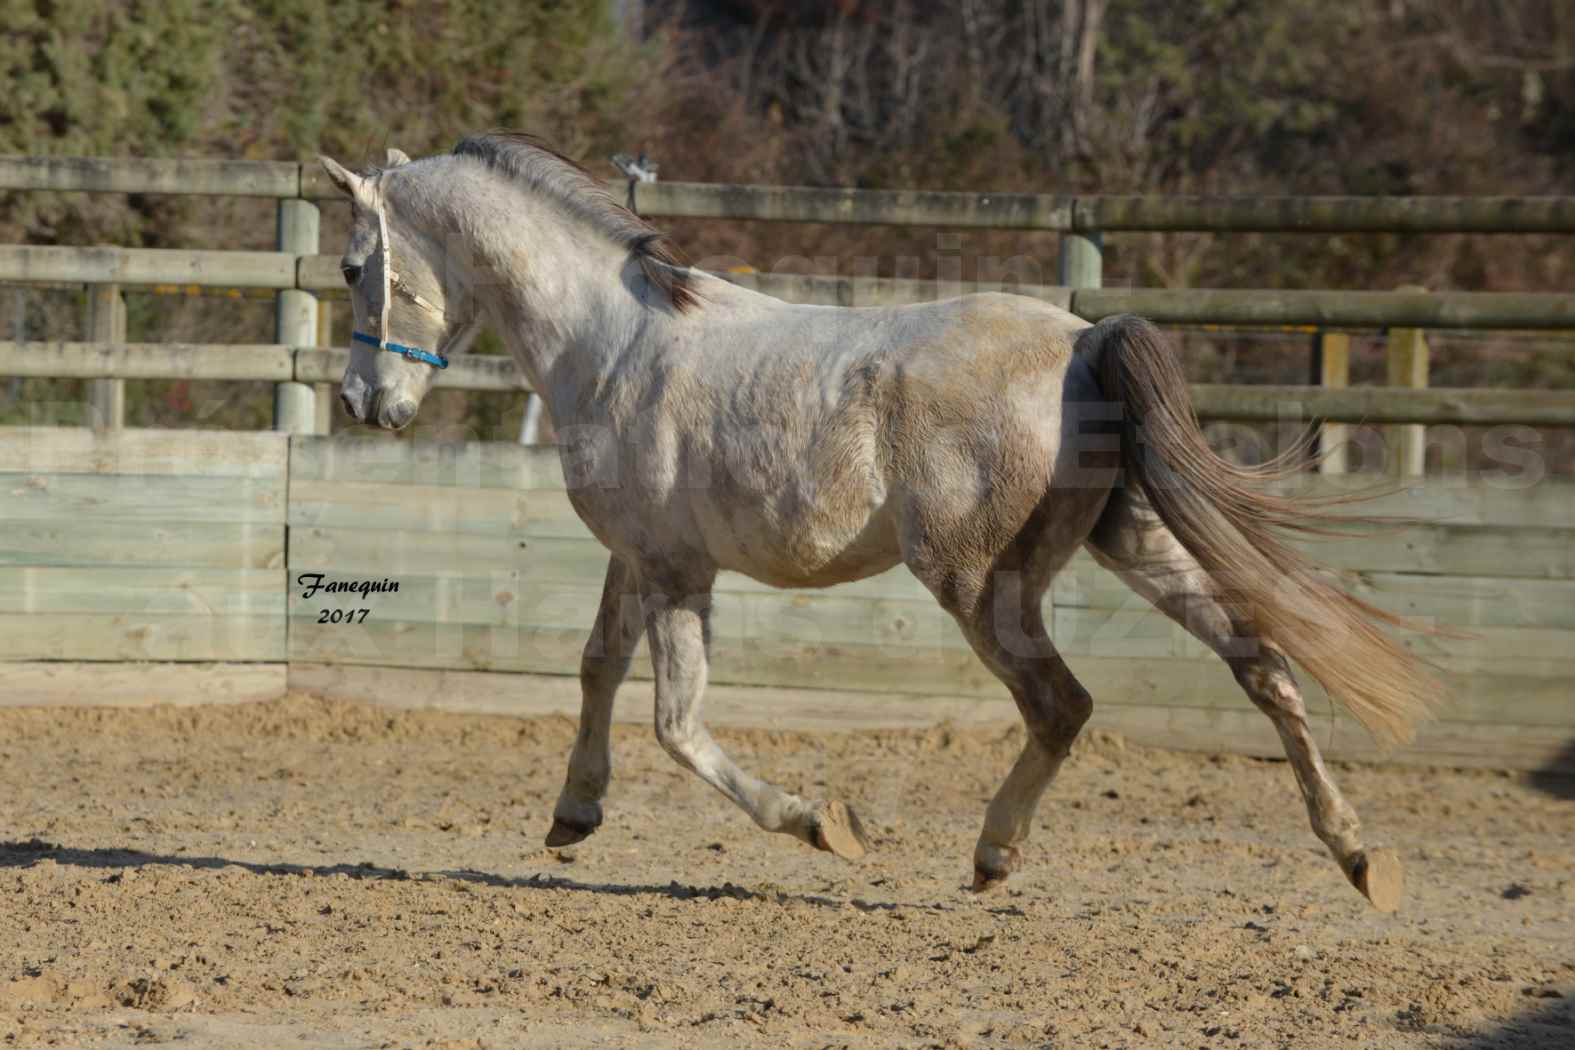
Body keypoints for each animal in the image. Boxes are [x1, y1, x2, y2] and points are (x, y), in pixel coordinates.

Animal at [316, 135, 1430, 913]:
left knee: (1062, 704)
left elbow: (677, 724)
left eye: (353, 270)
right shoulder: (639, 556)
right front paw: (572, 814)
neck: (613, 342)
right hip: (1131, 543)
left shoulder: (677, 572)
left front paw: (821, 825)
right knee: (1261, 664)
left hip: (982, 584)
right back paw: (1360, 858)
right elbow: (596, 669)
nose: (363, 402)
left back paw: (992, 855)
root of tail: (1084, 339)